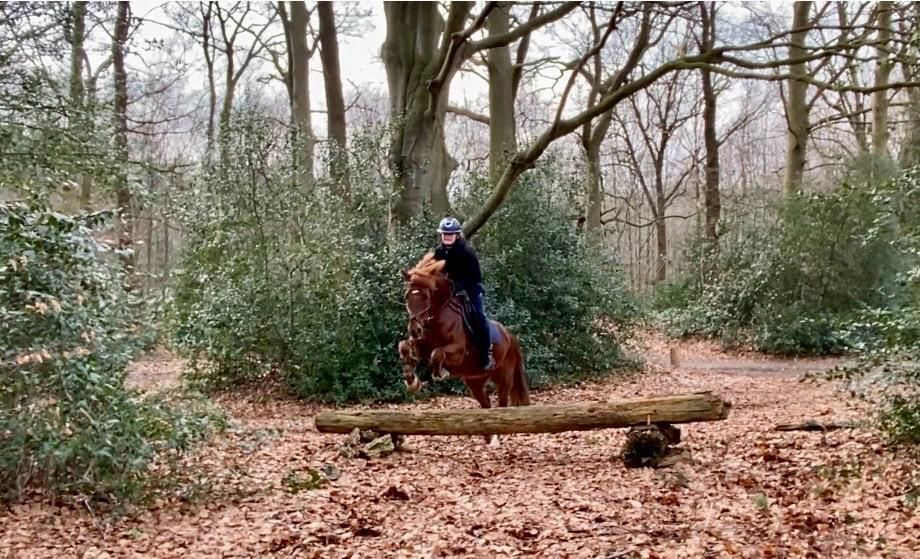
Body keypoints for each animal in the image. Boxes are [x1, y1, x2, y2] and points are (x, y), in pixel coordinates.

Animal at [399, 253, 530, 446]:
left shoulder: (458, 352)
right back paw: (488, 436)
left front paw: (440, 374)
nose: (415, 330)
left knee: (501, 404)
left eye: (426, 296)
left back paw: (496, 439)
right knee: (486, 405)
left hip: (504, 378)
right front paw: (412, 381)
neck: (438, 316)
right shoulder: (422, 344)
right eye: (407, 296)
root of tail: (509, 335)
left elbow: (437, 353)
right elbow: (405, 347)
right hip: (475, 380)